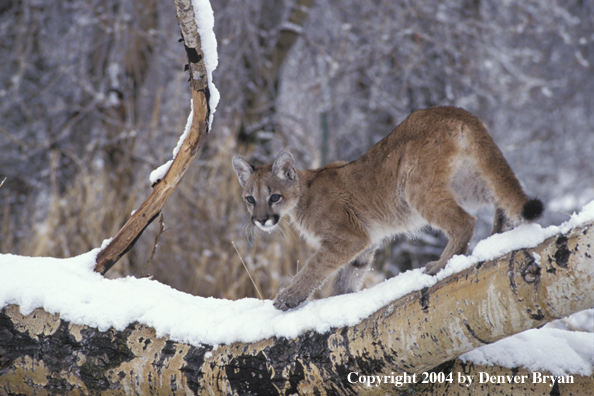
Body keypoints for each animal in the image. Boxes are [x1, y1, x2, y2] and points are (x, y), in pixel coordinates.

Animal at [231, 106, 540, 310]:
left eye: (274, 197)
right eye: (250, 199)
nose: (260, 220)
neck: (302, 194)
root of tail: (455, 110)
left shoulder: (347, 237)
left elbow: (314, 267)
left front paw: (287, 298)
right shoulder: (364, 242)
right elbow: (348, 276)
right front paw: (337, 302)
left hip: (415, 187)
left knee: (465, 221)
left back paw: (439, 265)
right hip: (468, 183)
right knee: (502, 196)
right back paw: (499, 234)